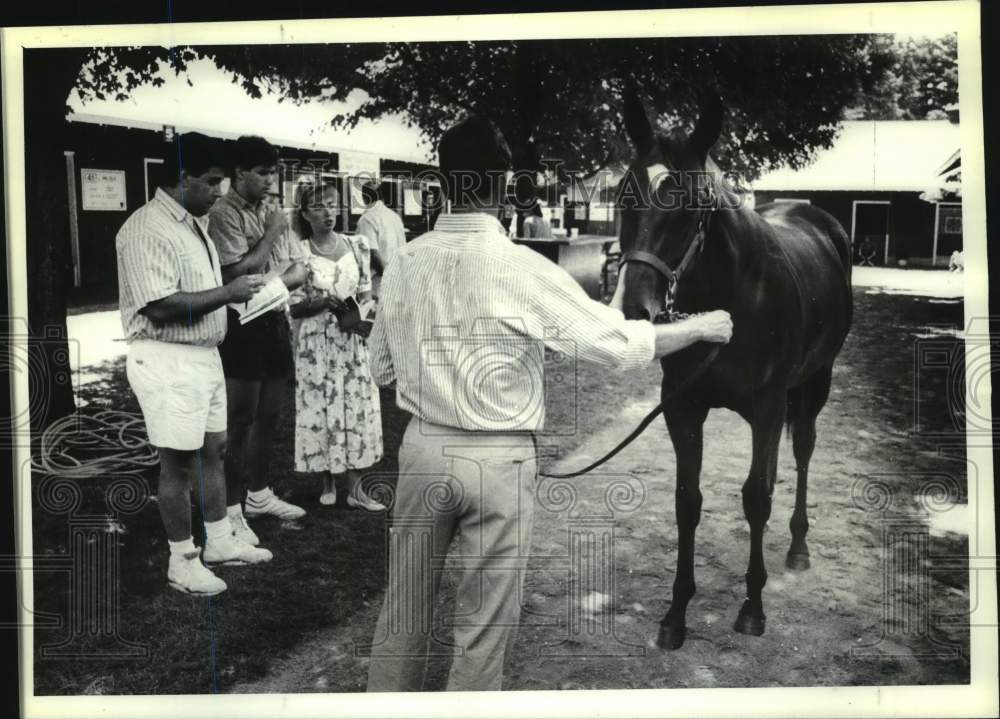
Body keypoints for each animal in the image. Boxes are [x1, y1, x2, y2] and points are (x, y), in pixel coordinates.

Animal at [616, 93, 852, 648]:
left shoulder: (766, 406)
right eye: (621, 196)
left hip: (815, 382)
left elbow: (756, 498)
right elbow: (688, 500)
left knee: (801, 450)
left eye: (690, 206)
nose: (635, 309)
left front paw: (753, 607)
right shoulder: (683, 407)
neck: (734, 296)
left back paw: (797, 548)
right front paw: (676, 612)